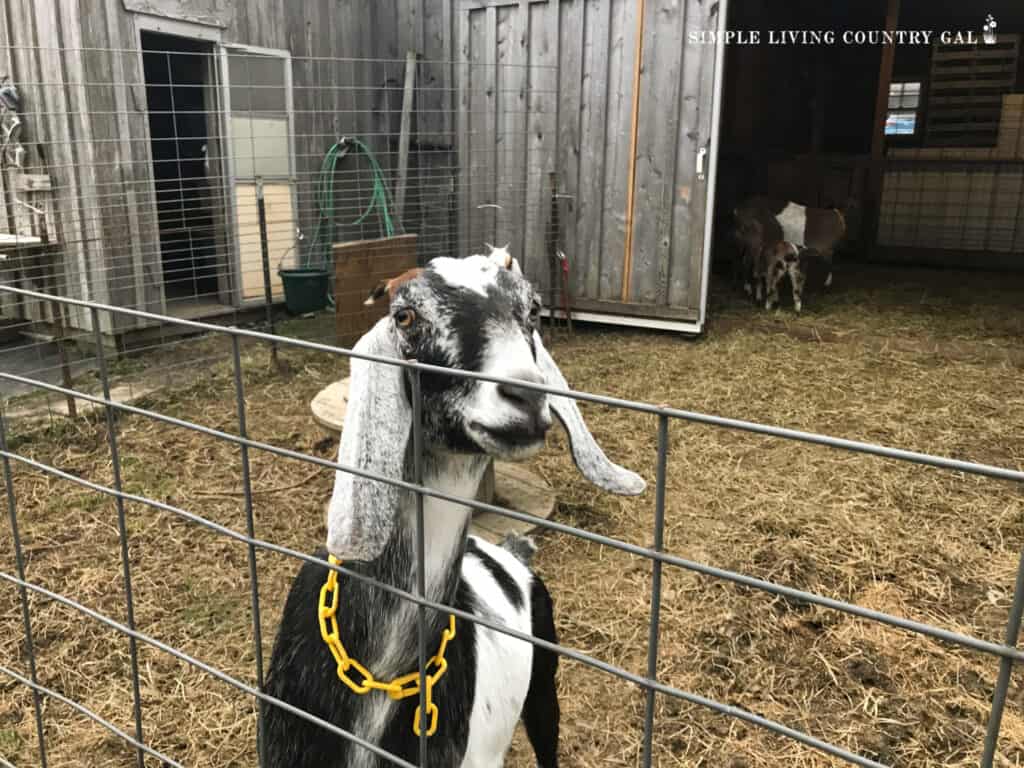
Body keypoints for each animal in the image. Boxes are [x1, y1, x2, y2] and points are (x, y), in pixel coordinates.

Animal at [260, 252, 643, 768]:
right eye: (405, 316)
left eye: (533, 310)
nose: (526, 395)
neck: (382, 675)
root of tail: (514, 553)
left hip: (544, 683)